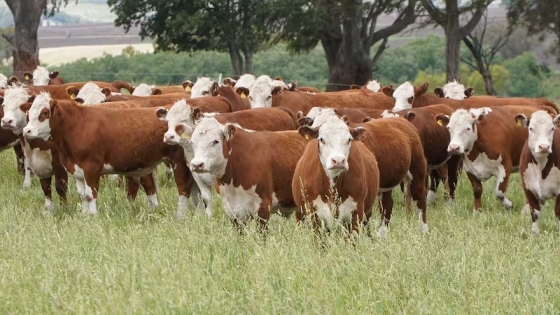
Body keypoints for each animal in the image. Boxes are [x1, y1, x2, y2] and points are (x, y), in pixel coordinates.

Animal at [21, 97, 196, 215]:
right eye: (29, 113)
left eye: (44, 112)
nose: (26, 130)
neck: (76, 126)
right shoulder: (76, 170)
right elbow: (82, 195)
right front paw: (84, 215)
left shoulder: (91, 168)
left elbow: (90, 195)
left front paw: (93, 216)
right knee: (150, 187)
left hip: (178, 162)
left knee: (183, 187)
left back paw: (180, 215)